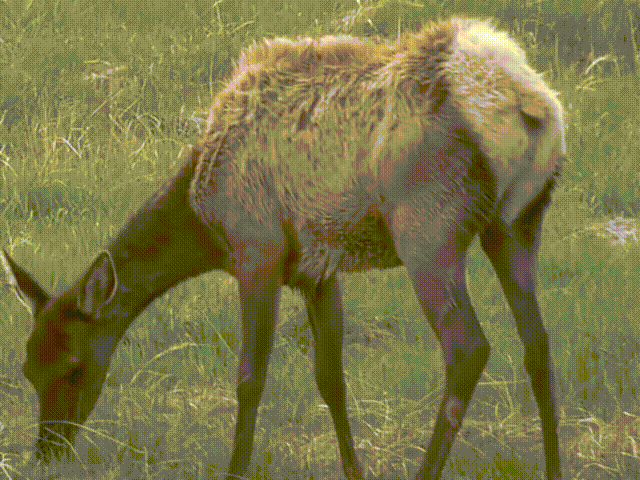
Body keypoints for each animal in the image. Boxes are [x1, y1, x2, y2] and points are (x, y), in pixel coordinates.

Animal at [2, 17, 565, 480]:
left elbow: (250, 376)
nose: (46, 451)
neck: (203, 218)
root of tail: (527, 103)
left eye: (75, 365)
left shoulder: (258, 250)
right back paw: (553, 467)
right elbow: (331, 379)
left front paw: (236, 469)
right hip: (516, 225)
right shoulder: (318, 268)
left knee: (468, 347)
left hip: (428, 232)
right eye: (28, 368)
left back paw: (427, 469)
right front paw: (353, 470)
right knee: (538, 345)